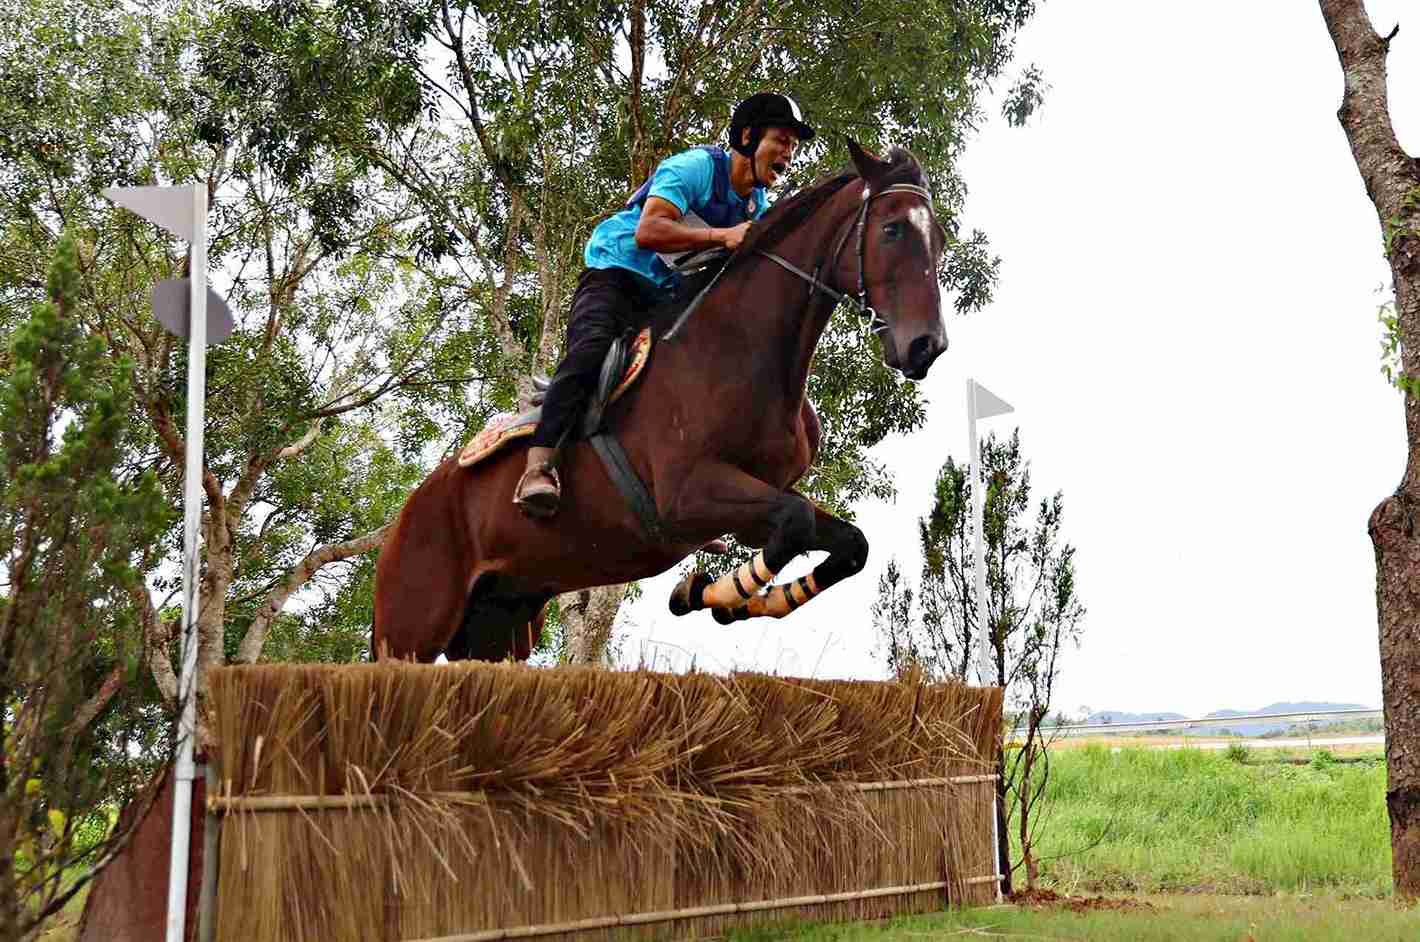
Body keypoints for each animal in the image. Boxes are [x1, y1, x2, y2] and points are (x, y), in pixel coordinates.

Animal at [372, 141, 948, 662]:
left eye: (939, 239)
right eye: (892, 229)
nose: (928, 346)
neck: (741, 348)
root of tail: (403, 518)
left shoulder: (752, 505)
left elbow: (847, 543)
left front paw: (726, 597)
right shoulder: (686, 495)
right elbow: (797, 520)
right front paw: (711, 592)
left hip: (500, 627)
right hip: (410, 632)